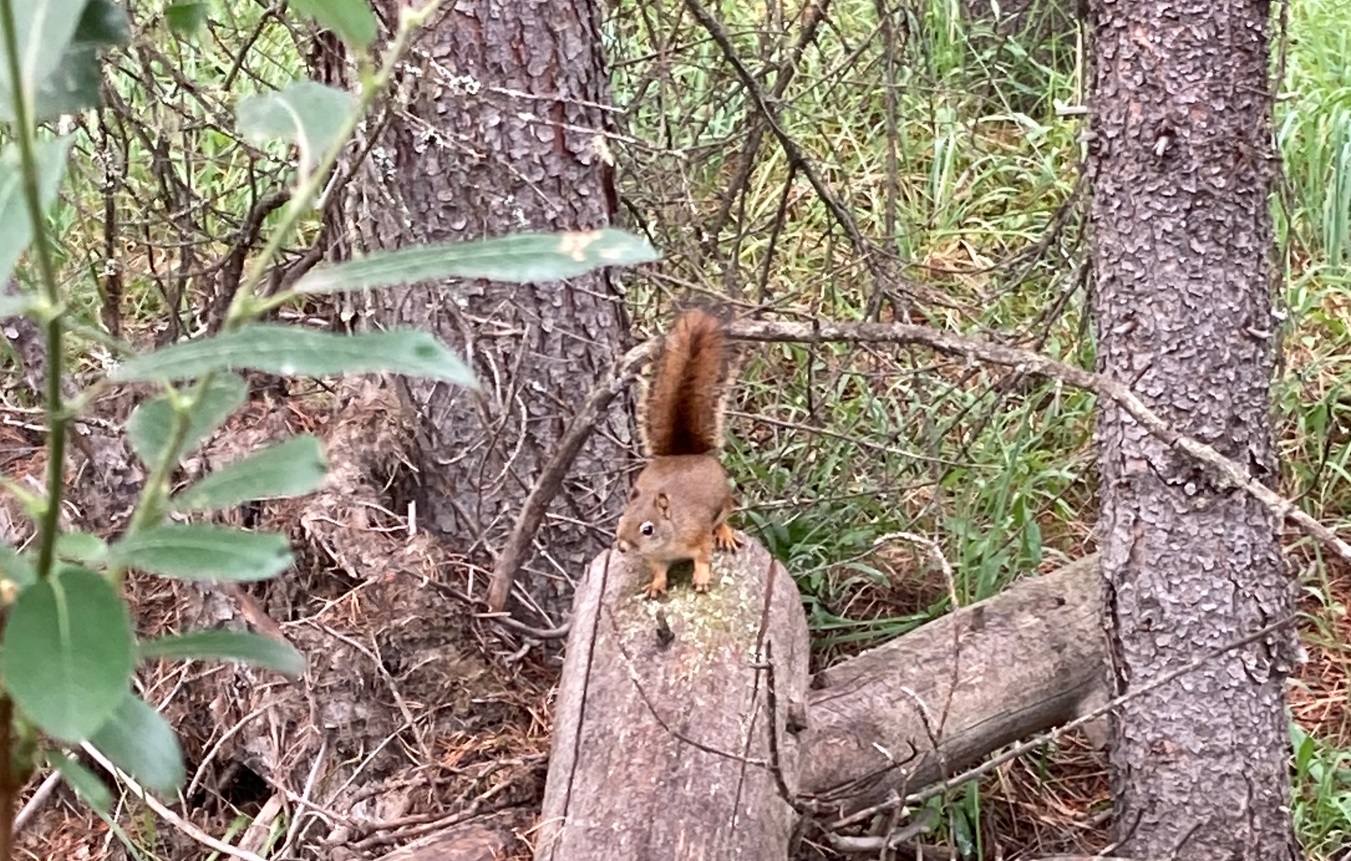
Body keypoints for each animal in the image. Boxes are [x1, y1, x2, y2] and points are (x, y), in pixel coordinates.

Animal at [615, 307, 741, 599]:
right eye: (622, 517)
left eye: (647, 529)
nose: (622, 546)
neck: (668, 538)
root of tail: (684, 454)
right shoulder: (656, 558)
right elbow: (659, 570)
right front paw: (656, 584)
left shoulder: (698, 534)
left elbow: (703, 557)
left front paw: (702, 578)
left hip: (724, 500)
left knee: (724, 517)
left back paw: (725, 533)